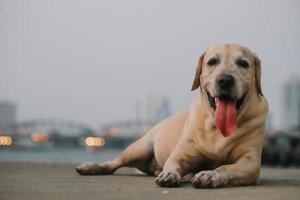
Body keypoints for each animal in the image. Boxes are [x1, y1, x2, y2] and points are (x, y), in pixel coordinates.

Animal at [76, 43, 268, 188]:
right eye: (212, 61)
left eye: (243, 63)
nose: (225, 80)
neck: (215, 128)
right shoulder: (180, 155)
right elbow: (172, 163)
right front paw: (169, 174)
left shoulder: (250, 162)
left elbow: (226, 167)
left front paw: (210, 175)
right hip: (139, 148)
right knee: (115, 162)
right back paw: (91, 167)